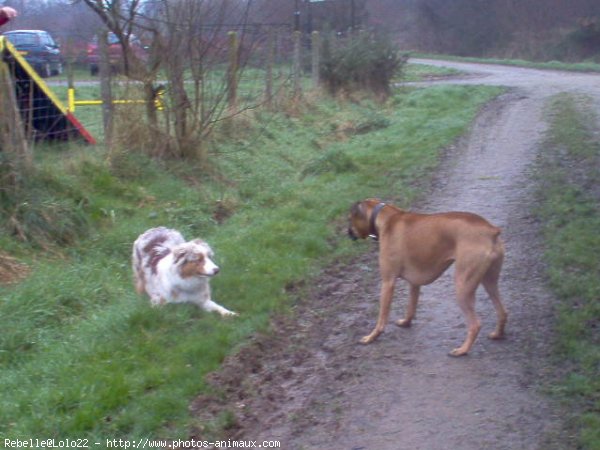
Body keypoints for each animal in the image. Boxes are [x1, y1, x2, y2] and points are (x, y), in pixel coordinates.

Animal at [346, 199, 506, 356]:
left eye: (349, 219)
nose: (347, 233)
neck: (385, 216)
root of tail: (491, 231)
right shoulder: (414, 283)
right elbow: (411, 307)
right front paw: (406, 322)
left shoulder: (388, 282)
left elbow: (381, 318)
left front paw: (371, 337)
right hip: (489, 282)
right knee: (502, 312)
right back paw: (498, 334)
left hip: (463, 287)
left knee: (475, 324)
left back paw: (462, 350)